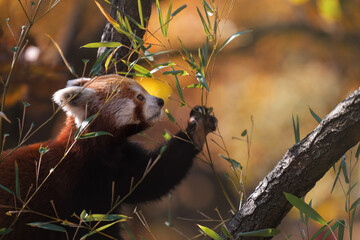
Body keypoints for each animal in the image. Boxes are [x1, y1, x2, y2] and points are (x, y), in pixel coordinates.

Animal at [0, 74, 217, 239]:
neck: (100, 152)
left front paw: (197, 128)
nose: (160, 101)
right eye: (139, 97)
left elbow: (156, 176)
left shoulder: (121, 167)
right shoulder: (74, 189)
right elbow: (90, 229)